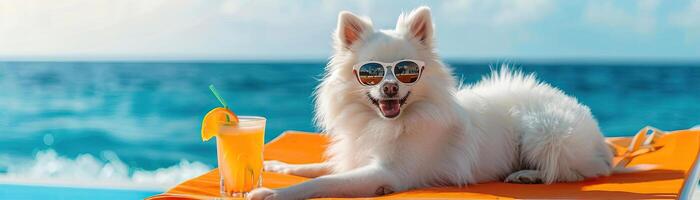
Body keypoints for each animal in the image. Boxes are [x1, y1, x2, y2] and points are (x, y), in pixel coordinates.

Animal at [250, 6, 616, 200]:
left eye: (406, 71)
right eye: (371, 73)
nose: (389, 88)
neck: (385, 123)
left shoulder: (389, 173)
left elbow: (325, 182)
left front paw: (272, 193)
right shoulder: (356, 157)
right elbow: (319, 168)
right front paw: (280, 168)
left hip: (545, 132)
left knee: (575, 170)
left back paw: (528, 175)